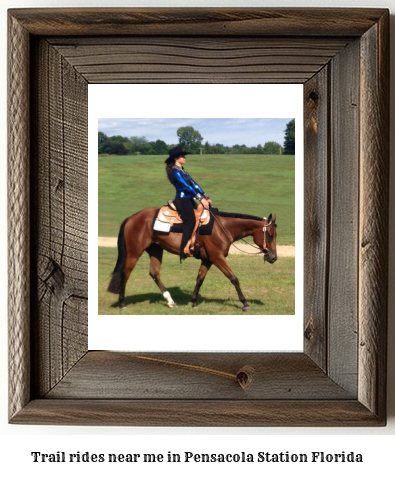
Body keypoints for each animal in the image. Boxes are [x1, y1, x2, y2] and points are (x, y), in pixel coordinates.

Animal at [106, 207, 276, 312]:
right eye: (270, 235)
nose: (273, 257)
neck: (222, 228)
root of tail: (131, 218)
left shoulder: (207, 260)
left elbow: (199, 279)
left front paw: (193, 302)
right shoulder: (217, 257)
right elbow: (233, 278)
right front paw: (245, 303)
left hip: (155, 250)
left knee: (154, 273)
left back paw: (170, 301)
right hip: (134, 252)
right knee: (125, 274)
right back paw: (122, 303)